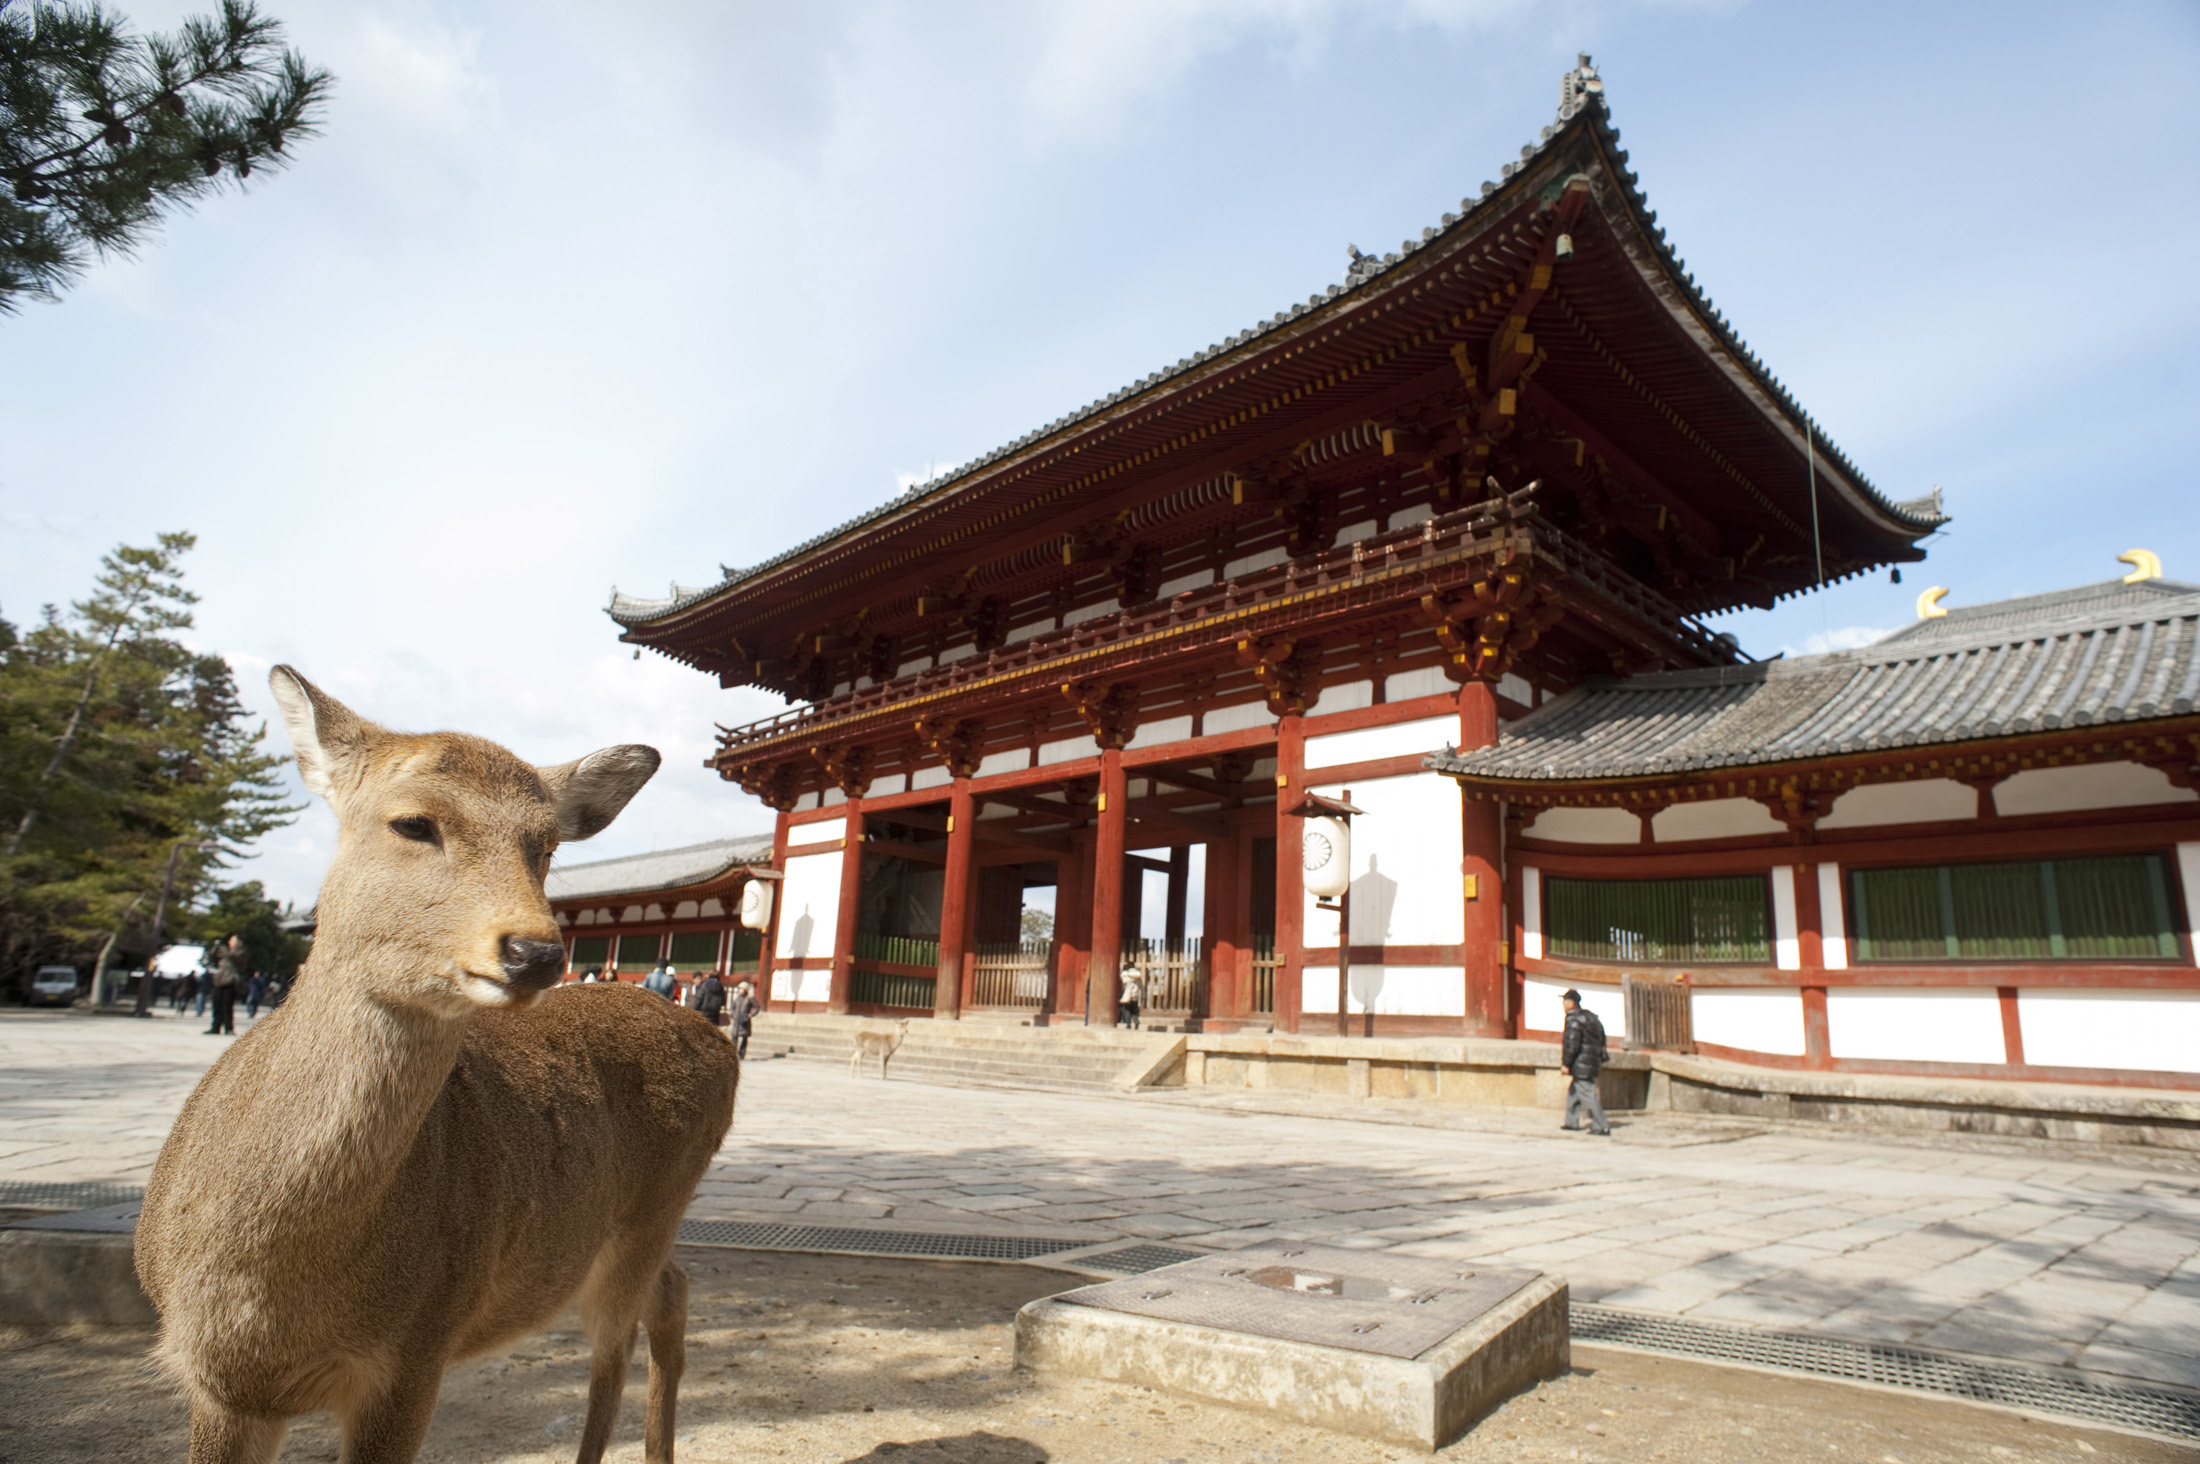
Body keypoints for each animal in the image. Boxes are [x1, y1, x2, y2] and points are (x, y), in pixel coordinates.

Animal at [134, 667, 739, 1464]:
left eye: (546, 845)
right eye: (412, 823)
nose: (536, 952)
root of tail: (721, 1045)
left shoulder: (418, 1349)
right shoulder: (220, 1384)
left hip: (653, 1209)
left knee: (622, 1336)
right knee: (670, 1294)